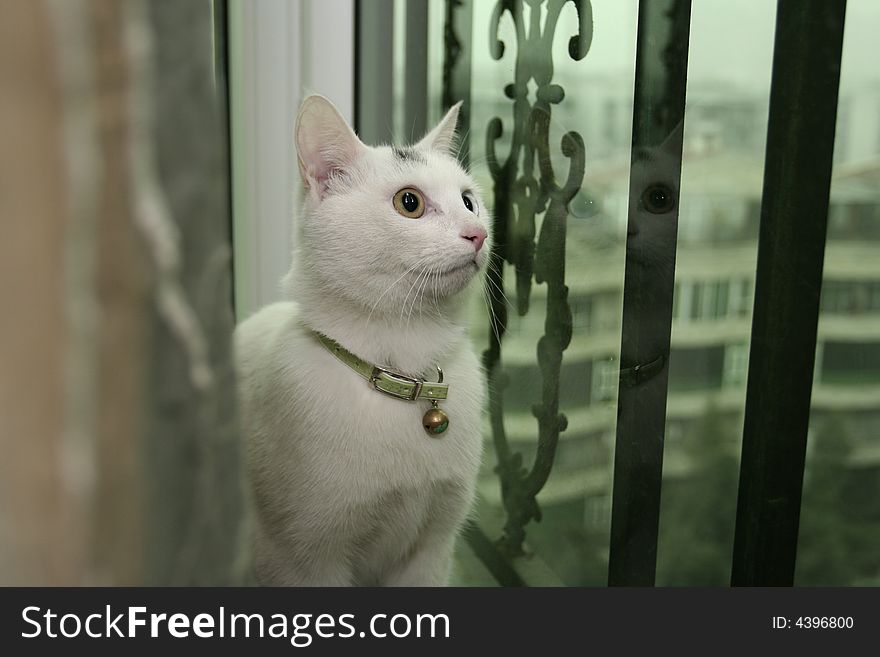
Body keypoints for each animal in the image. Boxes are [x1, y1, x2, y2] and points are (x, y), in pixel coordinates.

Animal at [234, 96, 492, 584]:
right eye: (409, 202)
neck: (402, 369)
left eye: (469, 200)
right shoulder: (304, 560)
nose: (479, 233)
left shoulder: (433, 551)